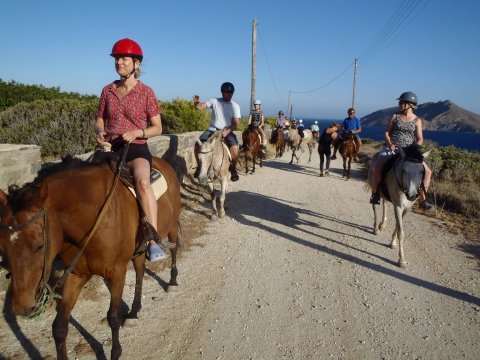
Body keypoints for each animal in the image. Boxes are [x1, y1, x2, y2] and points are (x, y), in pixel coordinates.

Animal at [0, 157, 180, 360]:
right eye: (2, 248)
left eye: (39, 245)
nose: (22, 307)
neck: (93, 218)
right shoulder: (76, 274)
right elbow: (59, 327)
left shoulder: (117, 272)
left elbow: (113, 317)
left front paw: (115, 352)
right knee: (140, 270)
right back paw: (134, 312)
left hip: (172, 225)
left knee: (174, 248)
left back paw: (172, 281)